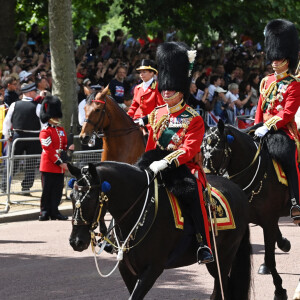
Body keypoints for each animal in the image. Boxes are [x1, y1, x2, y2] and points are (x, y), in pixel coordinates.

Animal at [68, 158, 251, 298]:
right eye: (71, 196)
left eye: (90, 198)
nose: (76, 241)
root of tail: (238, 190)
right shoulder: (126, 269)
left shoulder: (153, 268)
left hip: (223, 258)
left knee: (221, 289)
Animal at [202, 121, 292, 300]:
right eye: (202, 149)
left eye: (216, 150)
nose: (207, 179)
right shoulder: (258, 219)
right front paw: (284, 243)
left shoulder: (269, 219)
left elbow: (270, 258)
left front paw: (279, 290)